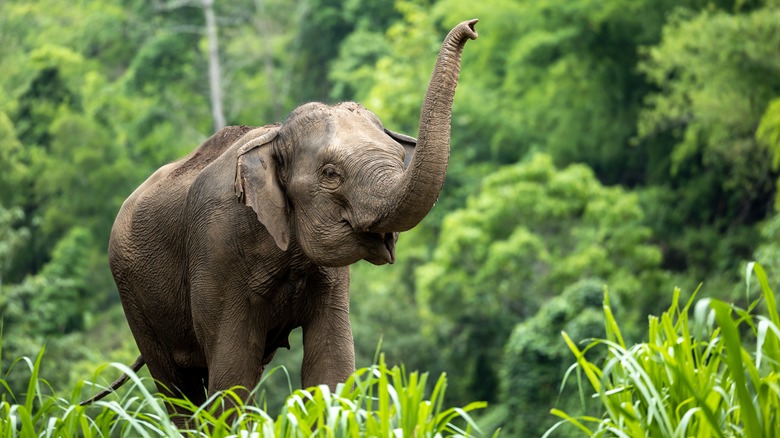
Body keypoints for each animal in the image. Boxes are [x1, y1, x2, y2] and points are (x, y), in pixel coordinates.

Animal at [82, 18, 478, 420]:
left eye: (400, 157)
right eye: (330, 174)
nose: (472, 27)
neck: (274, 135)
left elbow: (332, 364)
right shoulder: (217, 247)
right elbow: (231, 372)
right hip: (133, 295)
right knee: (177, 386)